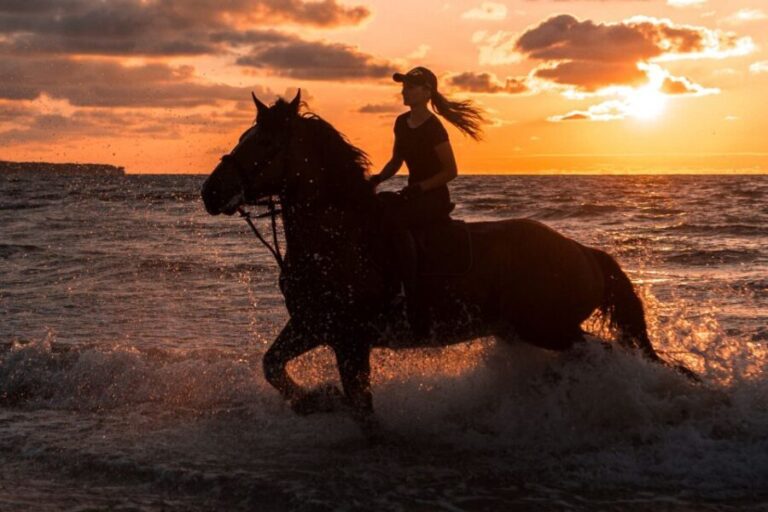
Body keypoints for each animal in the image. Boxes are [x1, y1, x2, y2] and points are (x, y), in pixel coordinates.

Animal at [201, 91, 691, 430]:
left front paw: (332, 407)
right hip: (526, 330)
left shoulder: (349, 338)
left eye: (264, 142)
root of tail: (584, 251)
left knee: (605, 354)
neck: (337, 237)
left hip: (550, 328)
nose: (210, 192)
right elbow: (272, 365)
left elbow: (363, 411)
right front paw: (314, 401)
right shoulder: (312, 324)